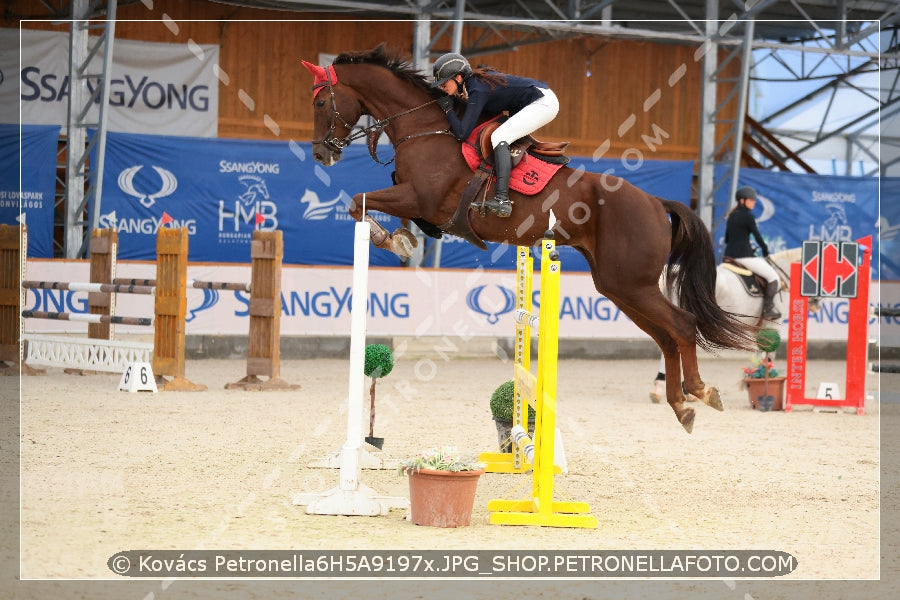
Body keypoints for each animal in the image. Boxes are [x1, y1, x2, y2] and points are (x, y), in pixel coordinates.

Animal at [300, 45, 752, 432]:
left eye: (320, 104)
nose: (322, 154)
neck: (425, 129)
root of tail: (657, 203)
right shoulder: (416, 202)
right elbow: (378, 208)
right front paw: (401, 239)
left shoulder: (421, 197)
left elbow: (358, 201)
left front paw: (389, 239)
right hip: (620, 286)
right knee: (666, 337)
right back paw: (681, 405)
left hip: (632, 284)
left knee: (682, 325)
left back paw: (700, 392)